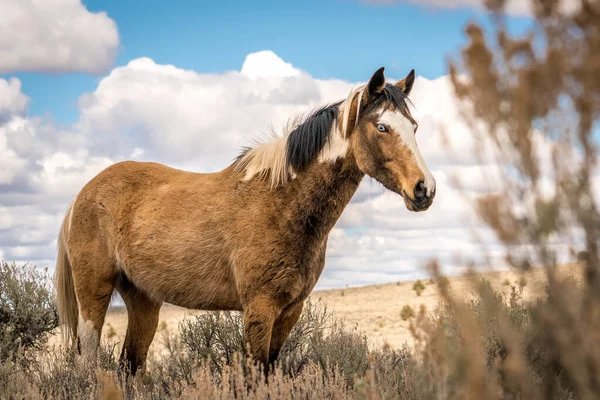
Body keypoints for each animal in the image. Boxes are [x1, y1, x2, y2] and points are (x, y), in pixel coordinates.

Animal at [52, 65, 436, 376]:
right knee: (88, 363)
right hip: (94, 296)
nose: (424, 189)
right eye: (382, 127)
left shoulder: (289, 311)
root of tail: (82, 196)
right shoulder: (259, 309)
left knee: (129, 366)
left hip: (143, 300)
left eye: (414, 127)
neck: (281, 201)